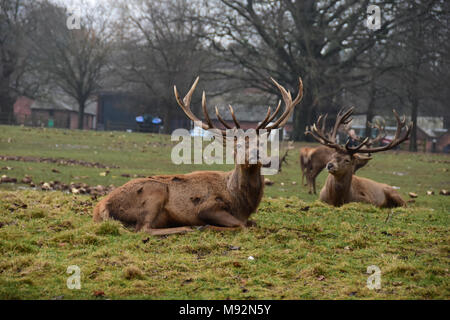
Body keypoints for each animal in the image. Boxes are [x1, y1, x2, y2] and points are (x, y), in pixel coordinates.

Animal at [93, 75, 304, 235]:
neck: (241, 203)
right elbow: (240, 225)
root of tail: (101, 206)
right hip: (154, 191)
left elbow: (251, 223)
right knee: (143, 229)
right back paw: (187, 228)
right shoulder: (207, 206)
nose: (256, 156)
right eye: (236, 147)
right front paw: (206, 226)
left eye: (260, 144)